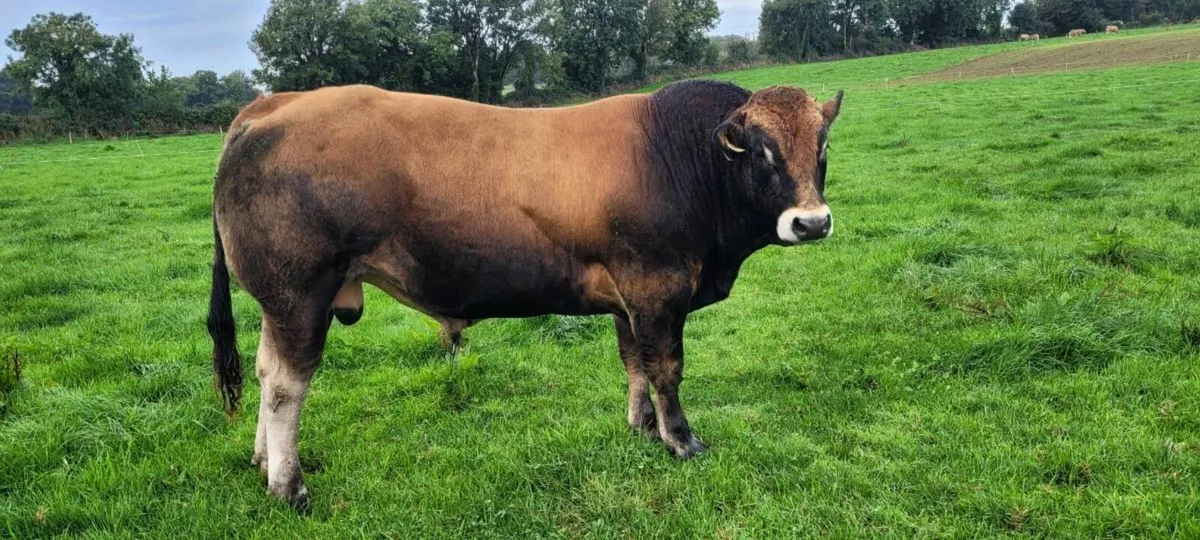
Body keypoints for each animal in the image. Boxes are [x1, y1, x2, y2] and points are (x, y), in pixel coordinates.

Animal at [207, 79, 844, 507]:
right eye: (760, 150)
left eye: (822, 148)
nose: (812, 222)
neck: (679, 156)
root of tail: (269, 105)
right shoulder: (658, 289)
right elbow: (666, 369)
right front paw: (681, 441)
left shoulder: (627, 298)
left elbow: (634, 365)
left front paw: (642, 428)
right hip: (299, 294)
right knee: (286, 385)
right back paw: (288, 484)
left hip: (278, 304)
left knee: (264, 372)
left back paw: (263, 461)